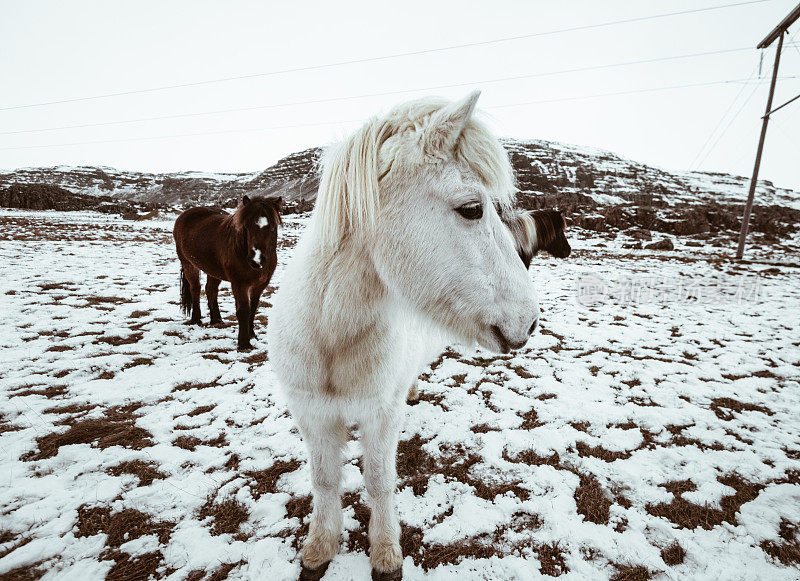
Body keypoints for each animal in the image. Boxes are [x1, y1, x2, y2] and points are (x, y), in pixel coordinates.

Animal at [172, 195, 282, 352]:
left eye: (273, 228)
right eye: (247, 227)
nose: (257, 260)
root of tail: (185, 214)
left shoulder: (260, 285)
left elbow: (253, 308)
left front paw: (252, 335)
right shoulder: (239, 284)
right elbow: (243, 310)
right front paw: (244, 344)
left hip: (213, 269)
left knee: (211, 289)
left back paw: (216, 319)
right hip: (188, 264)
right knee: (196, 289)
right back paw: (196, 319)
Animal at [268, 90, 536, 580]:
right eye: (472, 208)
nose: (529, 322)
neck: (331, 340)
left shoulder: (381, 414)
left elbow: (378, 481)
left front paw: (386, 552)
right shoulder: (313, 414)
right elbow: (325, 479)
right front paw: (320, 547)